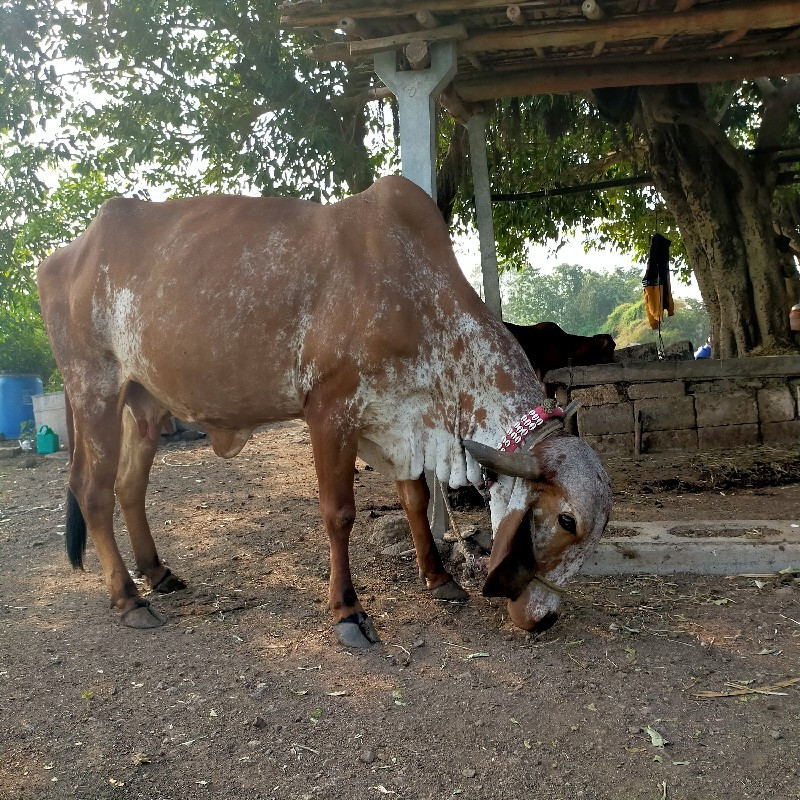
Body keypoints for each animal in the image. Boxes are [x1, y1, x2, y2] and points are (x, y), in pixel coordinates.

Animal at [37, 177, 612, 648]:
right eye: (566, 520)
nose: (546, 619)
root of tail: (65, 254)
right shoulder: (331, 413)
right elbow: (340, 514)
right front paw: (348, 611)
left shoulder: (395, 422)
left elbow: (416, 498)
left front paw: (438, 577)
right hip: (94, 390)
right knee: (92, 490)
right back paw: (129, 598)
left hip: (143, 404)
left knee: (129, 486)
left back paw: (157, 574)